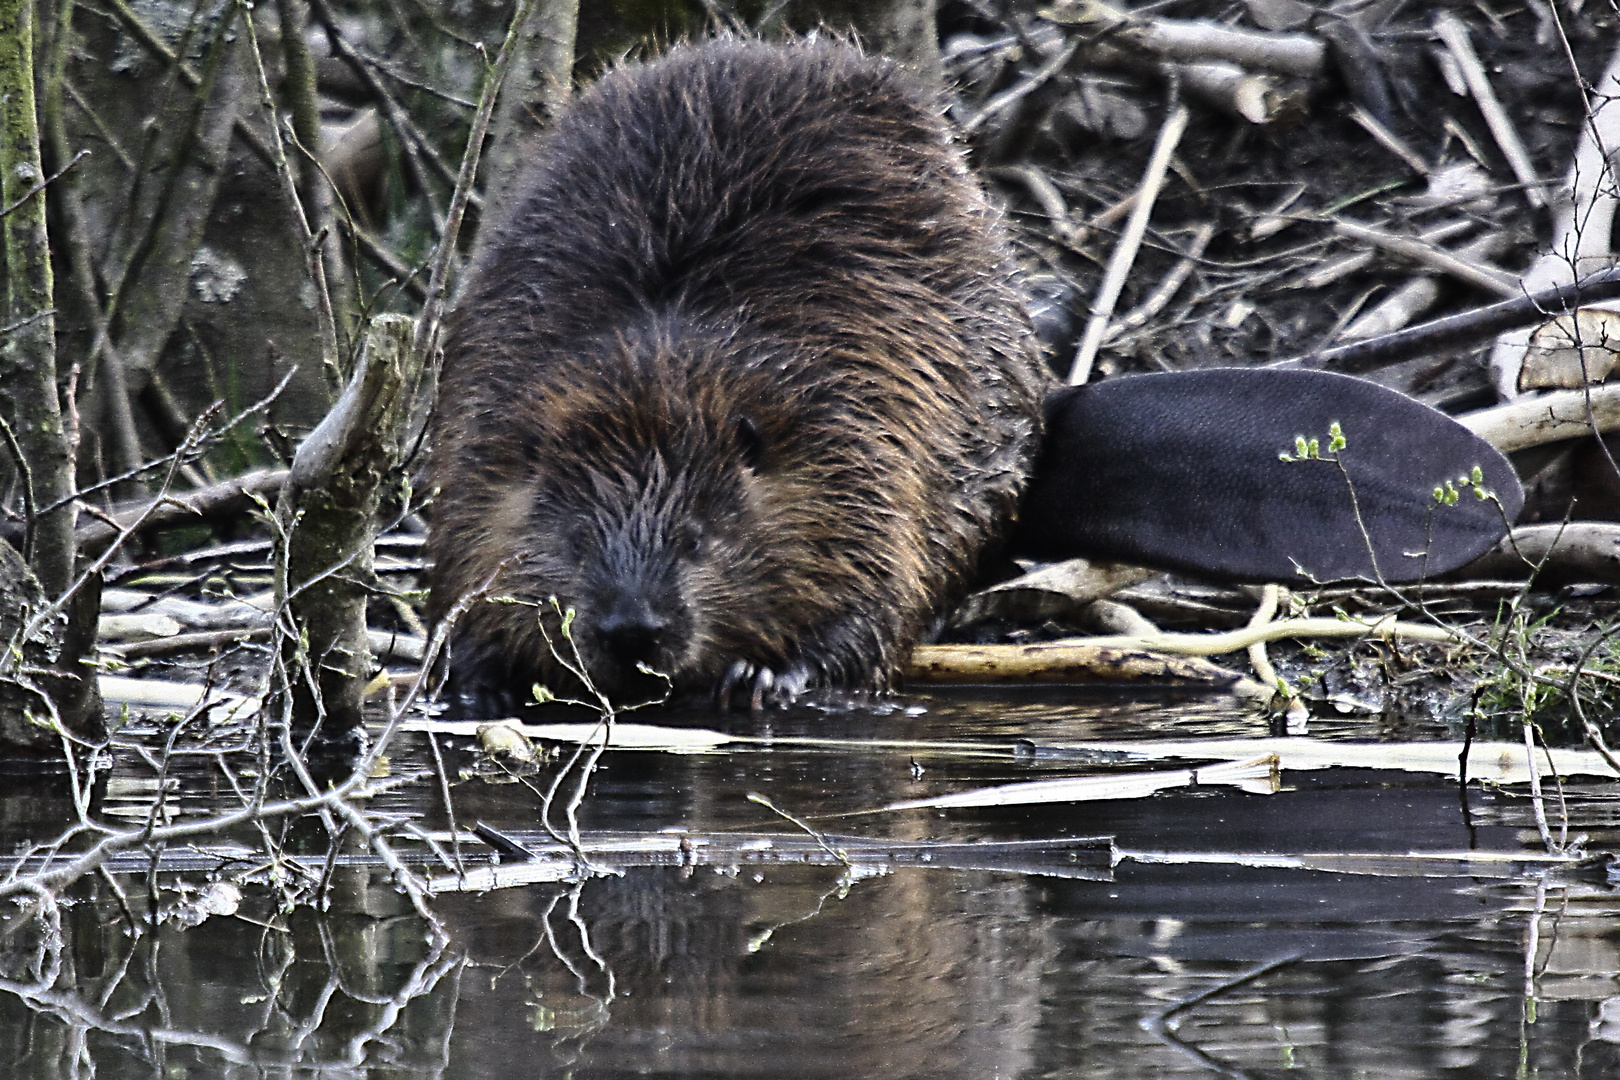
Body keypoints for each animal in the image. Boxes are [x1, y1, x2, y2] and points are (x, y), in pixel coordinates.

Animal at [424, 38, 1043, 712]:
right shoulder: (480, 445)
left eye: (695, 539)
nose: (633, 630)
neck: (655, 366)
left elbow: (878, 593)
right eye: (577, 541)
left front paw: (768, 678)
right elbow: (462, 573)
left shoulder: (862, 442)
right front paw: (478, 685)